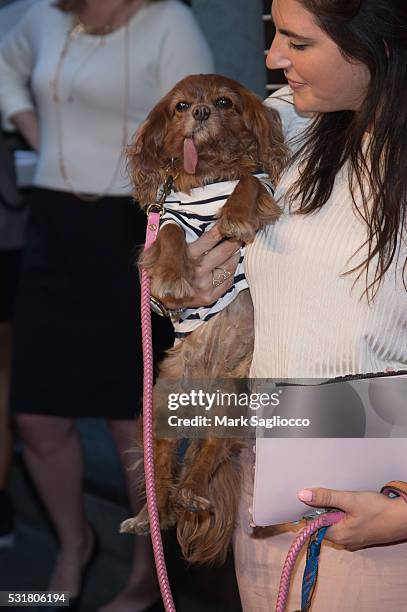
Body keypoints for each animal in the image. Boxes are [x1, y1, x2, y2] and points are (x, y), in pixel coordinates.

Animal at [120, 75, 286, 564]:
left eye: (224, 102)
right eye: (180, 106)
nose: (200, 113)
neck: (211, 174)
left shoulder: (262, 186)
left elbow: (249, 181)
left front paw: (234, 216)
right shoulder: (168, 217)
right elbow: (174, 233)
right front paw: (173, 277)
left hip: (230, 400)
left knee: (205, 457)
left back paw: (192, 493)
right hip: (159, 409)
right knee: (161, 472)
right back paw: (149, 515)